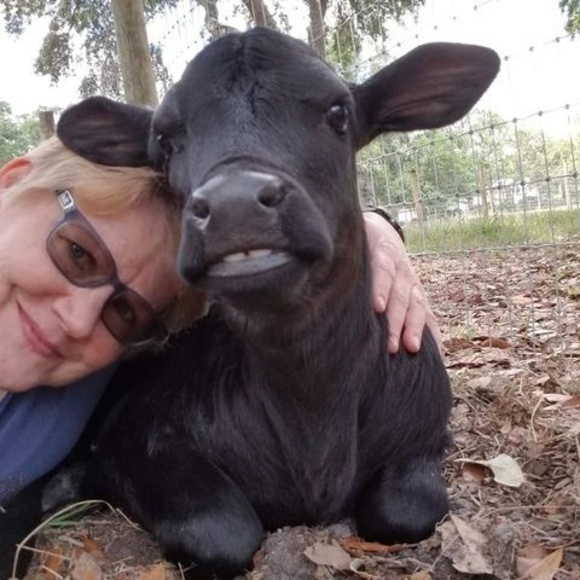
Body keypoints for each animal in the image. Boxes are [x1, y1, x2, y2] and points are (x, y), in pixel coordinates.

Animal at [57, 27, 500, 580]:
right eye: (164, 140)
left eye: (338, 111)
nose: (234, 205)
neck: (311, 416)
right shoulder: (136, 434)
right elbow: (223, 532)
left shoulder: (424, 430)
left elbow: (406, 509)